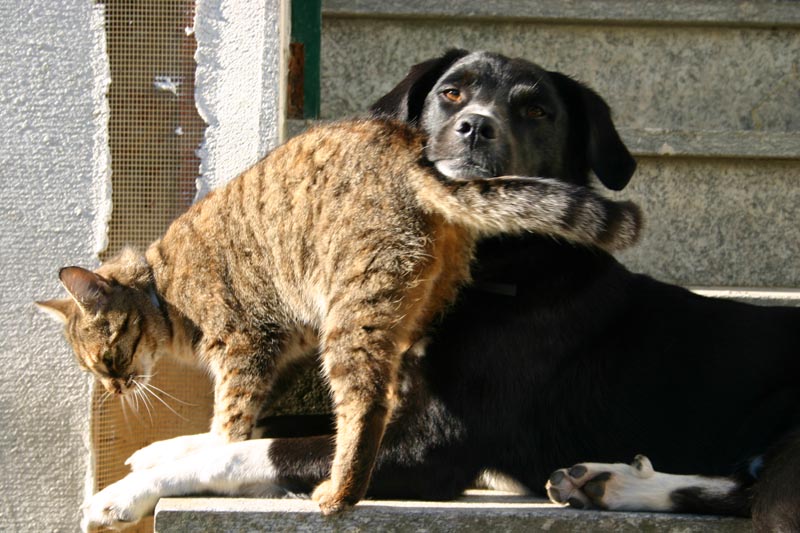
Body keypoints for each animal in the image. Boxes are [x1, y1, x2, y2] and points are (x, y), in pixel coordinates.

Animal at [37, 118, 641, 517]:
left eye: (106, 357)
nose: (114, 388)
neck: (163, 289)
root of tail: (409, 149)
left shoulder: (245, 346)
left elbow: (229, 426)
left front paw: (205, 451)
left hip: (354, 315)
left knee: (364, 407)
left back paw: (340, 493)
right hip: (412, 312)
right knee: (390, 398)